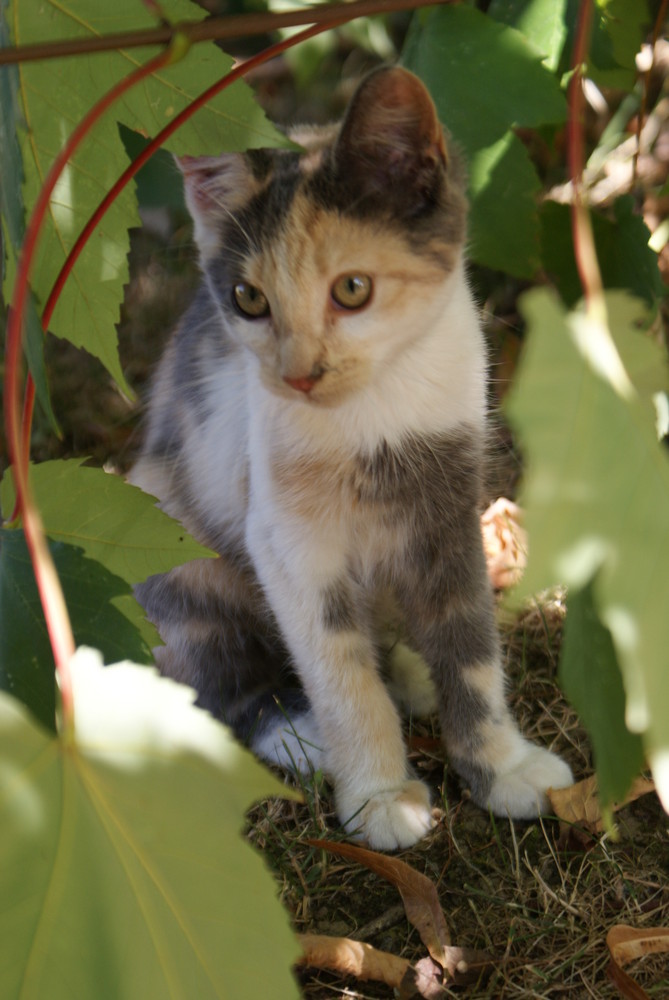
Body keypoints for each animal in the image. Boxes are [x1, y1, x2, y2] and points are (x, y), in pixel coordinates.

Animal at [128, 62, 572, 848]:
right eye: (247, 299)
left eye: (352, 289)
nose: (298, 374)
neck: (374, 417)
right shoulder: (286, 542)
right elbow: (340, 674)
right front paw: (380, 795)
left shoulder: (450, 503)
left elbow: (472, 646)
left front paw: (503, 767)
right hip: (169, 529)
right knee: (216, 678)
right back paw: (300, 734)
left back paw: (410, 675)